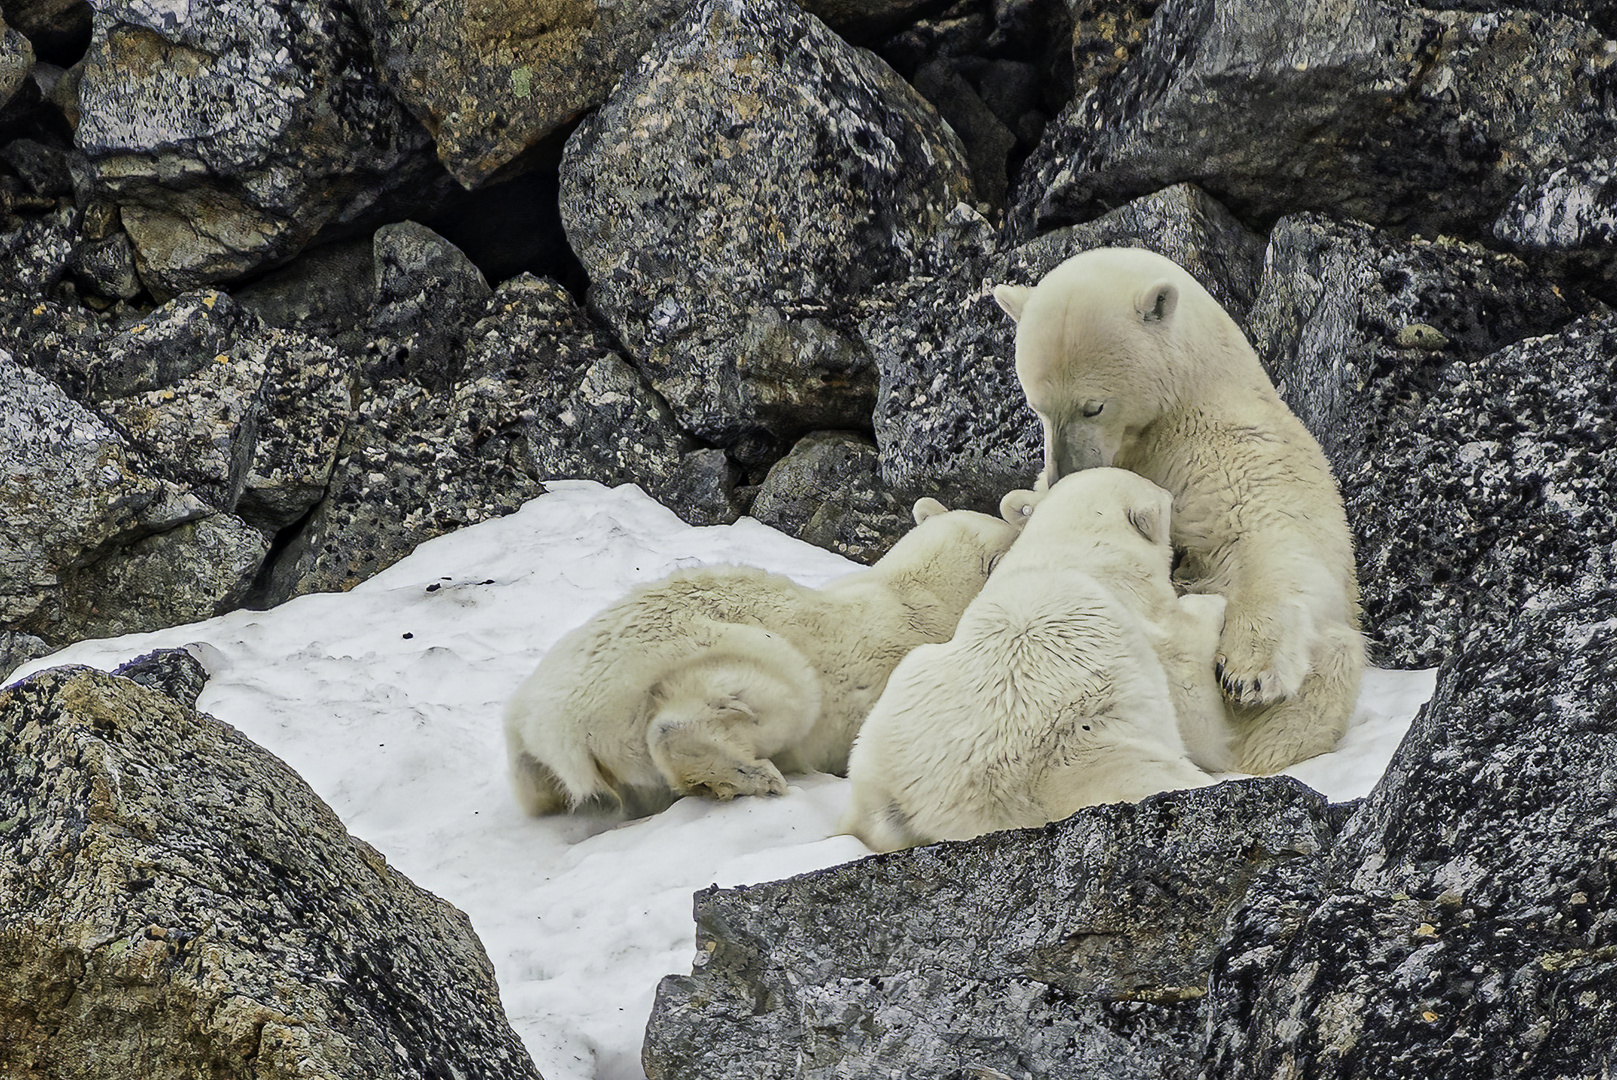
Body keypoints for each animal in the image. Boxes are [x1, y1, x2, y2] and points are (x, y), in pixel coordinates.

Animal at [501, 501, 1021, 814]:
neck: (911, 592)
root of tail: (555, 724)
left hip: (531, 745)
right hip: (709, 655)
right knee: (764, 698)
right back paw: (752, 775)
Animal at [840, 468, 1228, 853]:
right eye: (1164, 498)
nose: (1173, 495)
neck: (1071, 549)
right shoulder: (1144, 622)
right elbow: (1193, 697)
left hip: (896, 707)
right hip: (1088, 747)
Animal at [989, 248, 1358, 772]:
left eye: (1093, 406)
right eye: (1036, 406)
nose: (1063, 473)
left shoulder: (1239, 452)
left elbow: (1273, 540)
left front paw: (1249, 672)